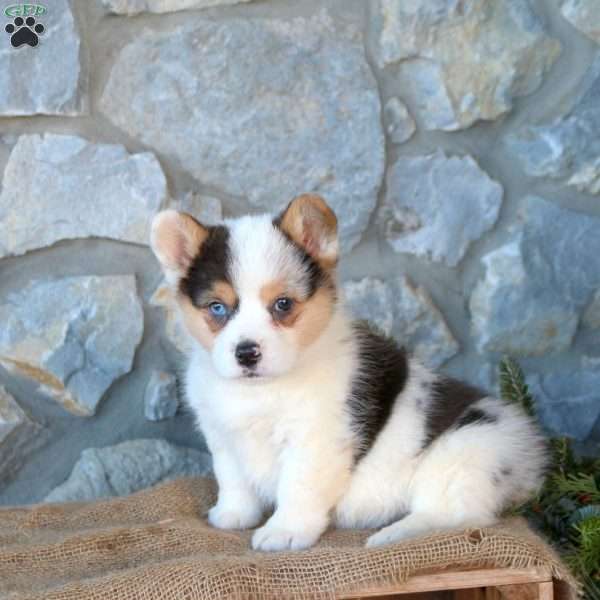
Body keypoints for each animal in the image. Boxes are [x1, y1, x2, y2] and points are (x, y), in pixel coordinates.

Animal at [150, 195, 548, 552]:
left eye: (283, 304)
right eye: (217, 308)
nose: (247, 353)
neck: (261, 390)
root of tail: (532, 459)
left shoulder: (315, 440)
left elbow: (298, 487)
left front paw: (284, 532)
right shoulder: (222, 436)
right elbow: (232, 479)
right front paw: (232, 515)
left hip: (464, 451)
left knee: (456, 516)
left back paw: (391, 535)